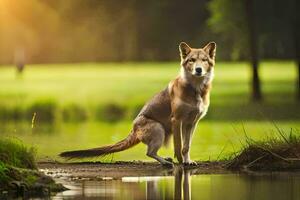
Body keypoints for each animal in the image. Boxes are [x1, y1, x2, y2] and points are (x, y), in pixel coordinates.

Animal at [59, 41, 217, 166]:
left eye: (204, 60)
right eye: (191, 60)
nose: (198, 69)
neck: (195, 88)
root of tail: (134, 129)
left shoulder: (191, 123)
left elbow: (186, 146)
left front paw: (187, 161)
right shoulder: (177, 120)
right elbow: (178, 146)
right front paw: (180, 162)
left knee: (151, 151)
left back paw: (166, 159)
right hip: (159, 128)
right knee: (149, 152)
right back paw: (165, 162)